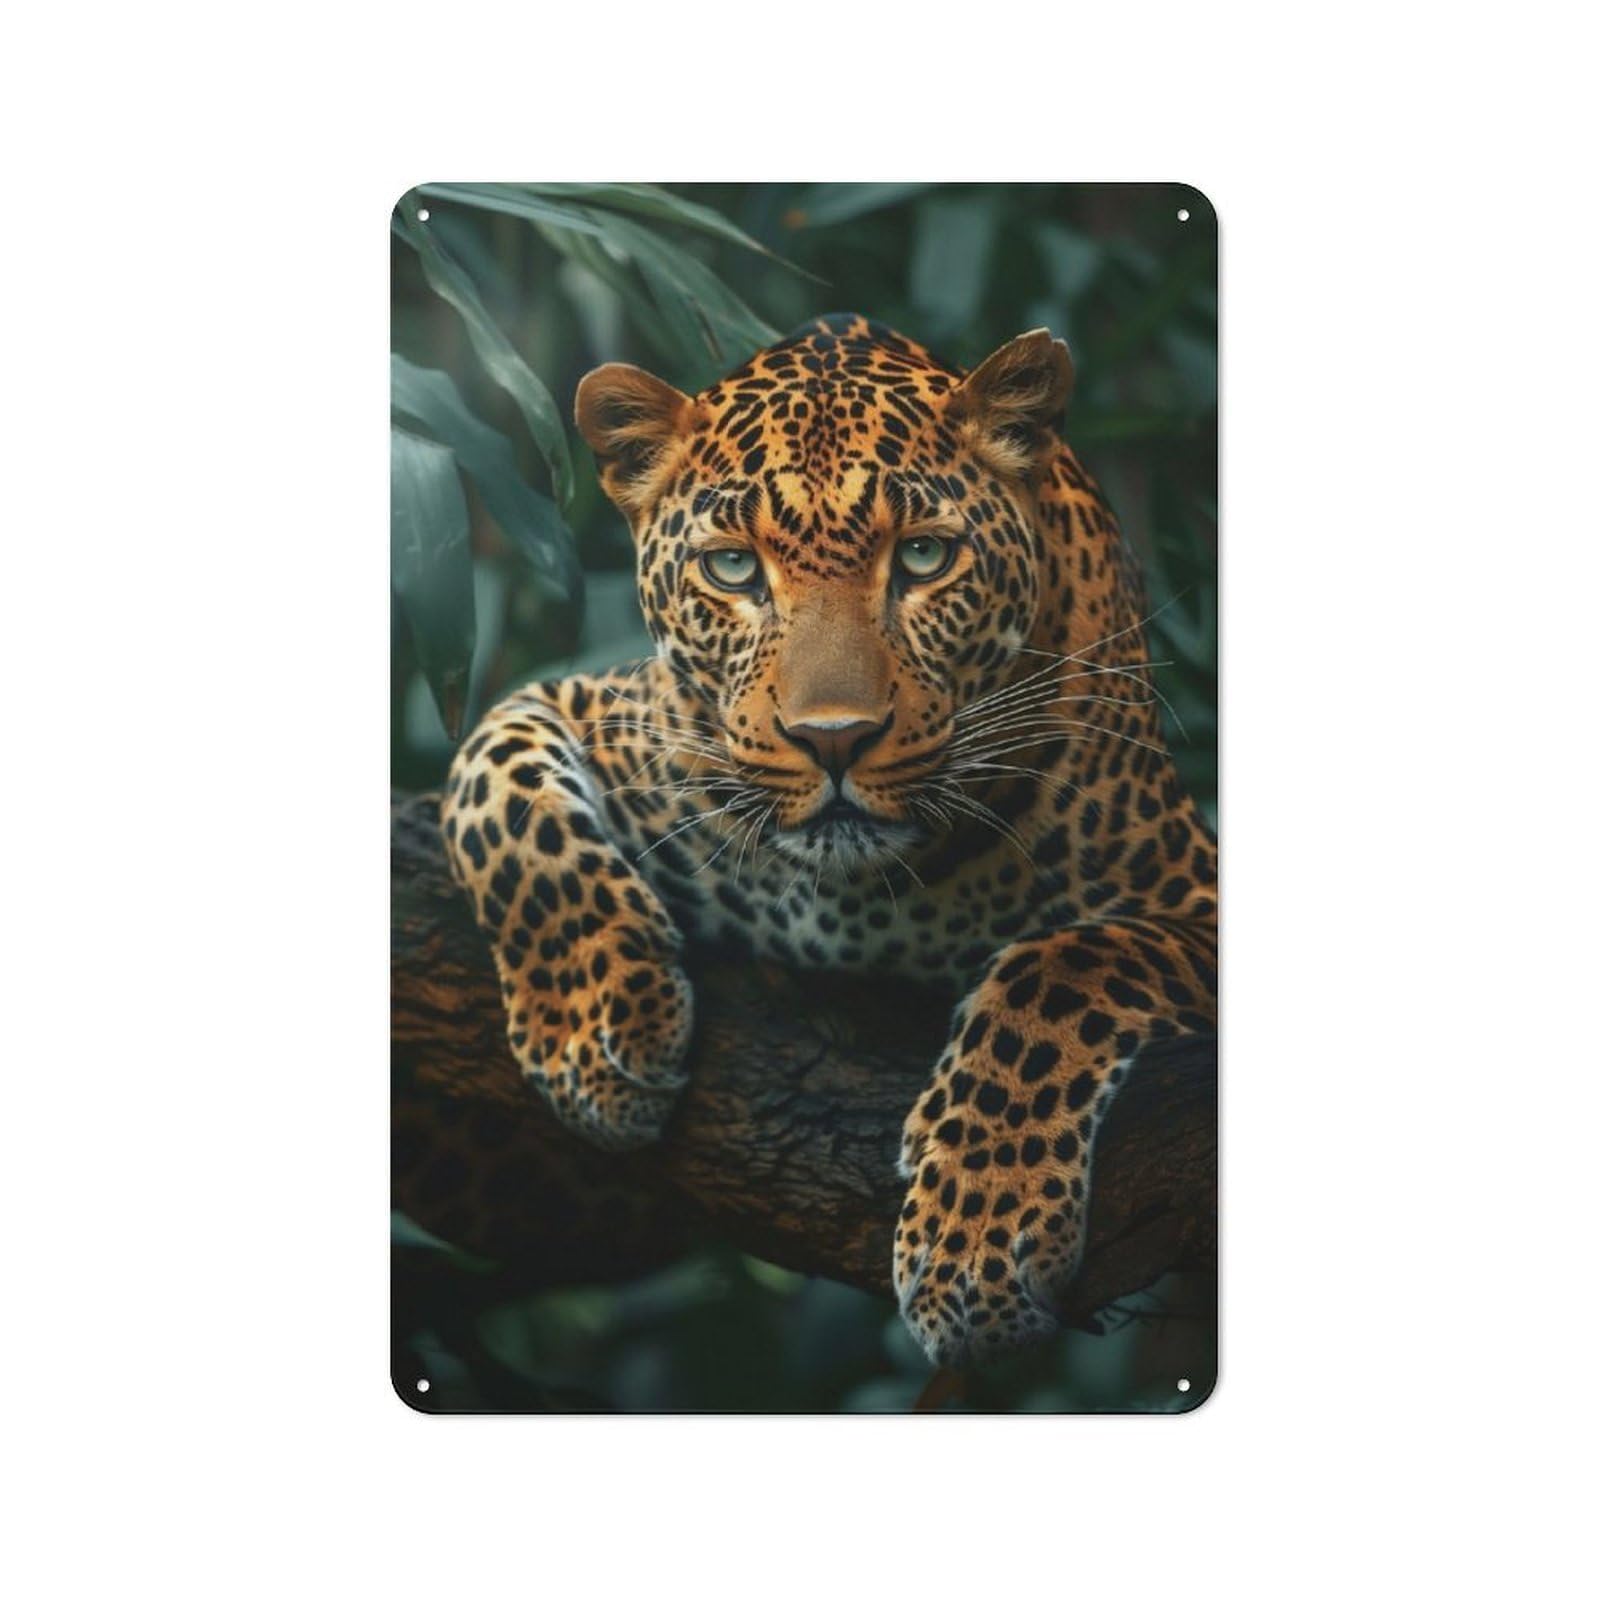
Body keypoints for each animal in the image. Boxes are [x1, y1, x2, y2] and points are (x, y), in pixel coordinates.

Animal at [440, 312, 1218, 1367]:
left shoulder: (1193, 893)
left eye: (924, 557)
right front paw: (595, 1029)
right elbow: (496, 793)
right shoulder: (590, 708)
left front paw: (977, 1239)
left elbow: (1062, 967)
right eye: (733, 568)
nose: (835, 738)